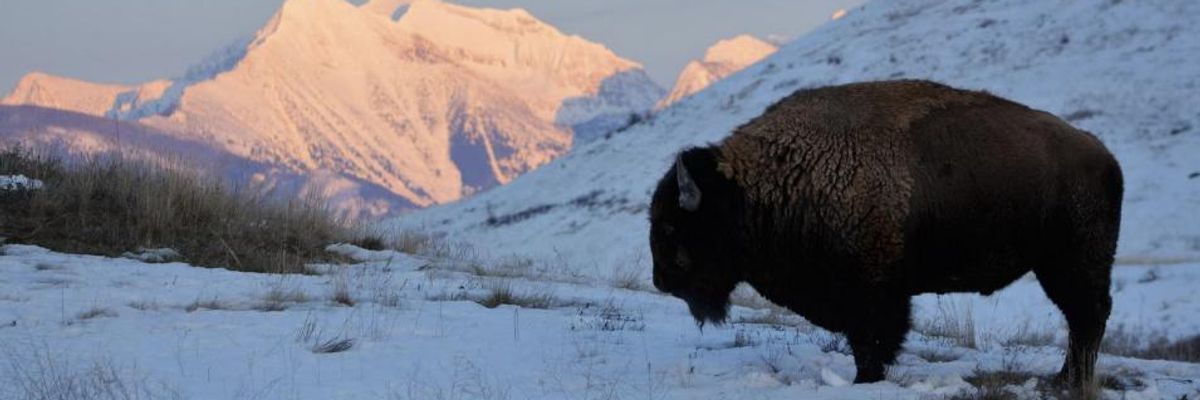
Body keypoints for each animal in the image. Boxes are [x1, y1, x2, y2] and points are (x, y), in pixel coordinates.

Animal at [649, 80, 1122, 392]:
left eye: (672, 225)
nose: (661, 280)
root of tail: (1103, 155)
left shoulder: (874, 293)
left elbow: (873, 342)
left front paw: (866, 381)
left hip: (1071, 264)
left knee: (1087, 316)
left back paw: (1069, 381)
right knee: (1084, 318)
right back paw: (1064, 378)